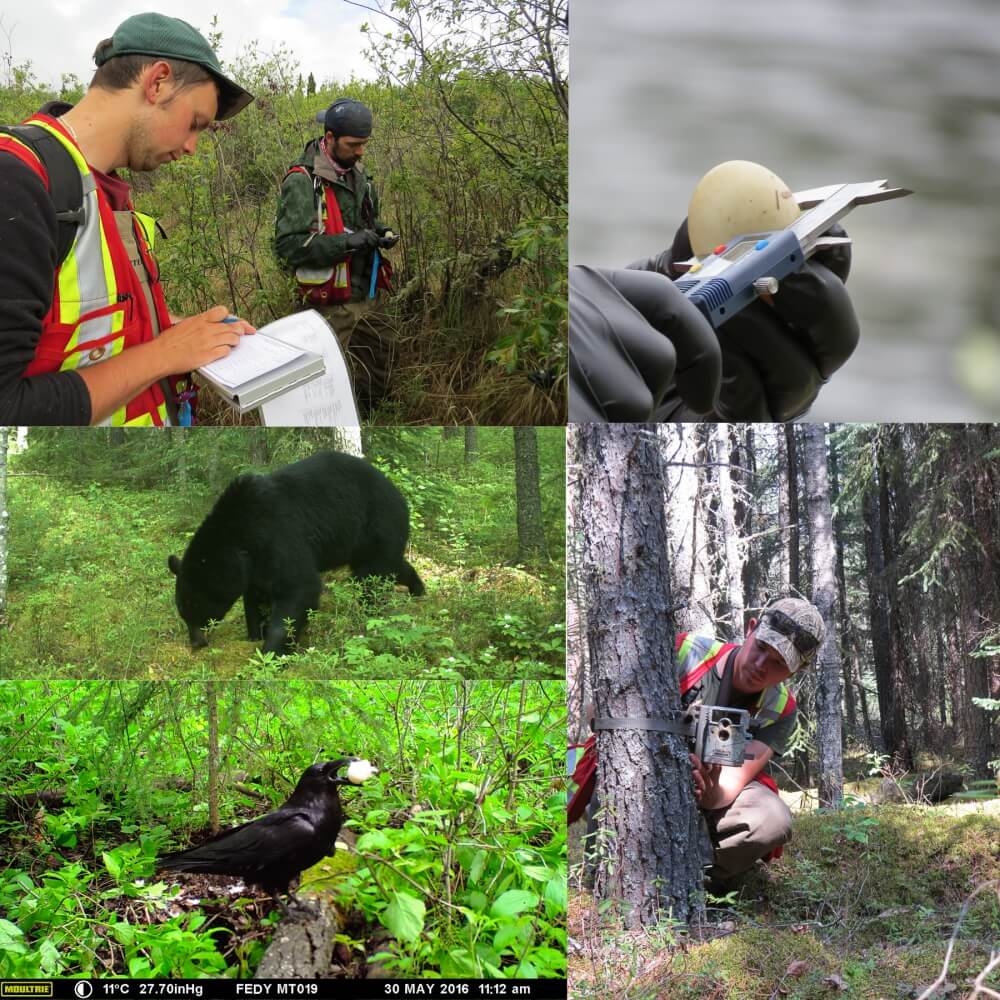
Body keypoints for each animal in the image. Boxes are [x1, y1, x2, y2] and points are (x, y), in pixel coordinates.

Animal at [167, 448, 422, 652]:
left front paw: (270, 652)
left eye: (195, 607)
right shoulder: (254, 566)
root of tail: (399, 494)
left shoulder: (279, 538)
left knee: (371, 575)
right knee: (388, 566)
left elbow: (298, 588)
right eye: (183, 611)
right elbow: (256, 597)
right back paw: (418, 588)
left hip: (377, 522)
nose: (196, 642)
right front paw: (254, 634)